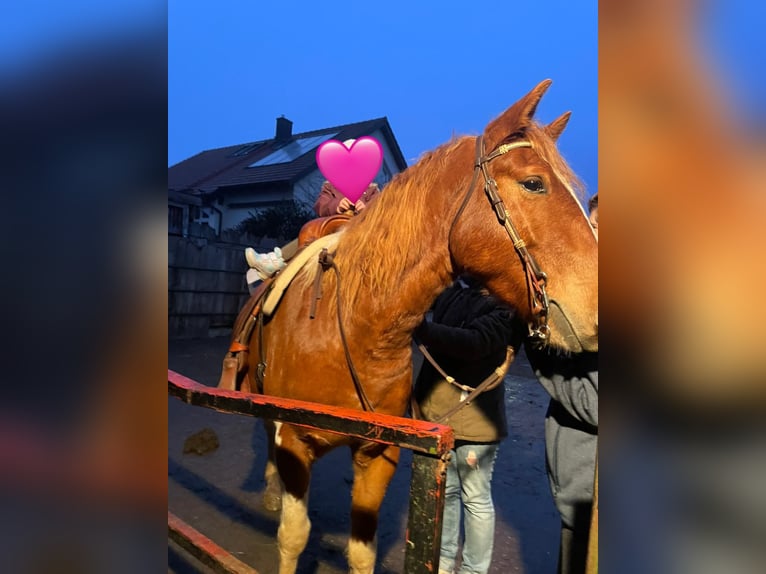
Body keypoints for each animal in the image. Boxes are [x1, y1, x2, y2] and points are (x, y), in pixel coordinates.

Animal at [220, 79, 598, 574]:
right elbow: (293, 537)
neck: (354, 330)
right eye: (534, 183)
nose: (597, 305)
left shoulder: (378, 455)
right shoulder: (294, 442)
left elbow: (361, 553)